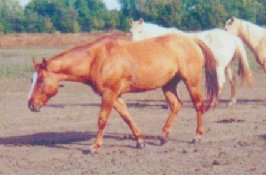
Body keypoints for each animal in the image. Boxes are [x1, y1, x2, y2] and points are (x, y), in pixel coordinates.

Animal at [27, 33, 218, 153]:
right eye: (32, 79)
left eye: (41, 79)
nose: (30, 105)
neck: (97, 58)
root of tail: (192, 40)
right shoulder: (116, 96)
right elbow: (127, 117)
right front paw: (140, 141)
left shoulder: (109, 94)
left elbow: (102, 120)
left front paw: (94, 147)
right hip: (168, 85)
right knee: (176, 105)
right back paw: (163, 137)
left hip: (191, 81)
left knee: (198, 105)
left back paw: (197, 137)